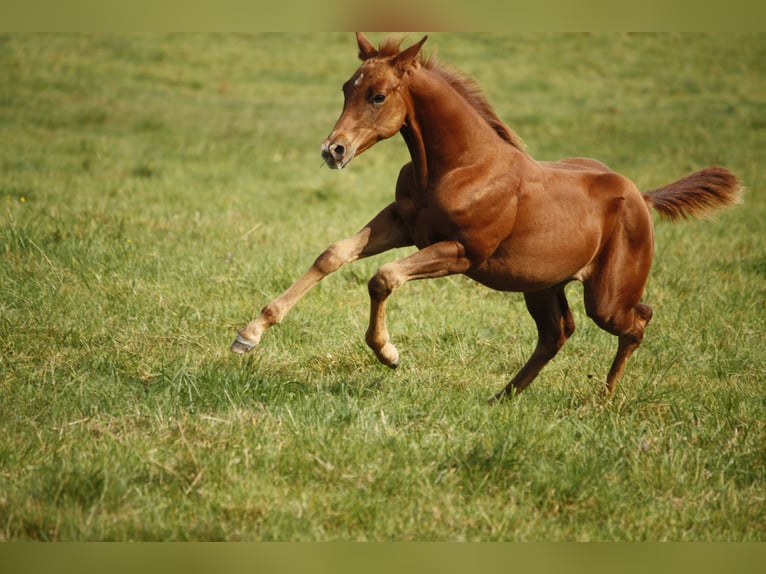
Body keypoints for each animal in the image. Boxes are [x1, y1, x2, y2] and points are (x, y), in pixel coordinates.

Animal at [230, 33, 744, 402]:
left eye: (378, 96)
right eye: (345, 89)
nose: (333, 151)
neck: (461, 165)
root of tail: (640, 194)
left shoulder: (462, 252)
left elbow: (383, 277)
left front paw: (388, 354)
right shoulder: (400, 223)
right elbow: (333, 254)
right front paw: (248, 335)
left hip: (607, 296)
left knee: (638, 319)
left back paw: (602, 398)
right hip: (541, 284)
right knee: (557, 334)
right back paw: (503, 397)